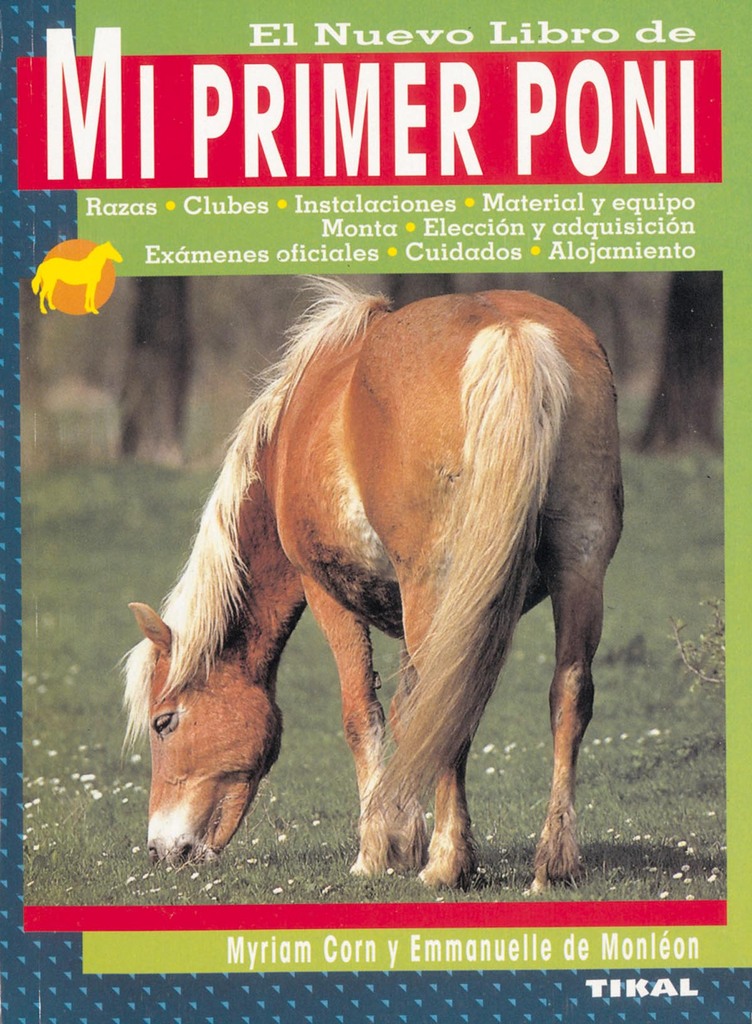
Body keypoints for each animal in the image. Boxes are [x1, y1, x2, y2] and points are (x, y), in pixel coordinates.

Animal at [125, 279, 623, 890]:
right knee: (565, 695)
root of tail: (509, 332)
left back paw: (446, 865)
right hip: (579, 566)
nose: (160, 850)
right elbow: (410, 714)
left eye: (163, 722)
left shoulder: (326, 594)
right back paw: (553, 862)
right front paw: (406, 837)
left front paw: (376, 851)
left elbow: (364, 716)